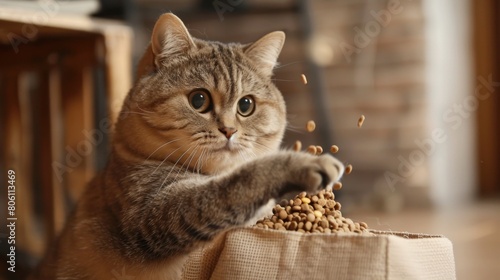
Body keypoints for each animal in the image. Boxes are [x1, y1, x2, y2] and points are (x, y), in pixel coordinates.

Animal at [31, 13, 344, 280]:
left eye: (246, 105)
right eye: (198, 100)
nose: (229, 130)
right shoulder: (157, 211)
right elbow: (240, 183)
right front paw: (304, 164)